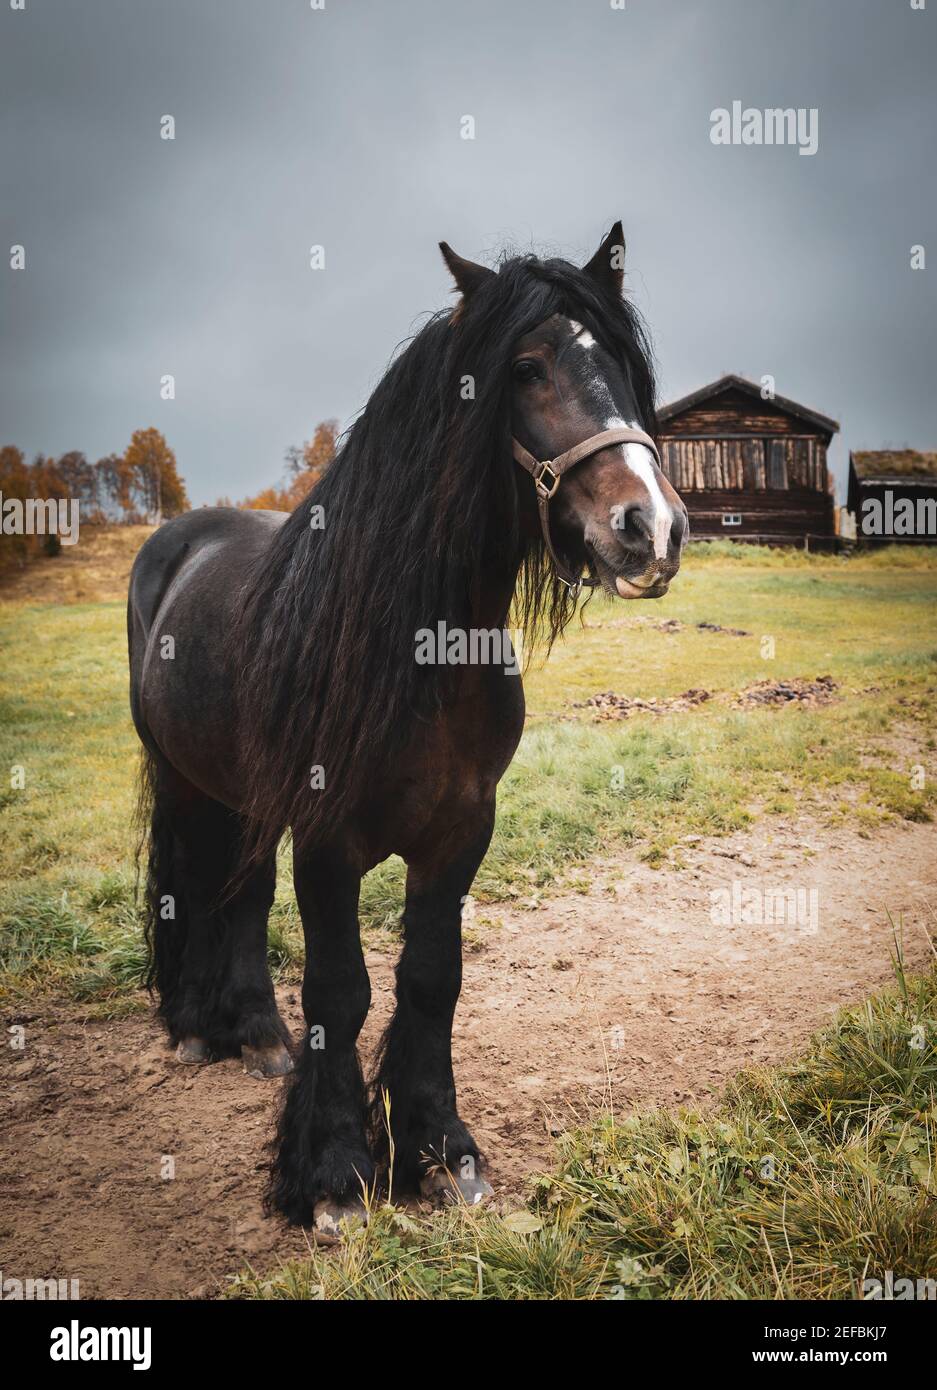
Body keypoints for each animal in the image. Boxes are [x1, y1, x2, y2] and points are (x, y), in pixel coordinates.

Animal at [127, 222, 687, 1232]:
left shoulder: (461, 830)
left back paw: (257, 1034)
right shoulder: (326, 837)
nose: (649, 529)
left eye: (625, 368)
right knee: (194, 885)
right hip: (185, 781)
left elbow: (431, 980)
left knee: (240, 896)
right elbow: (340, 989)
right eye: (525, 367)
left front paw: (438, 1151)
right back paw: (195, 1030)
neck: (418, 647)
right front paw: (332, 1173)